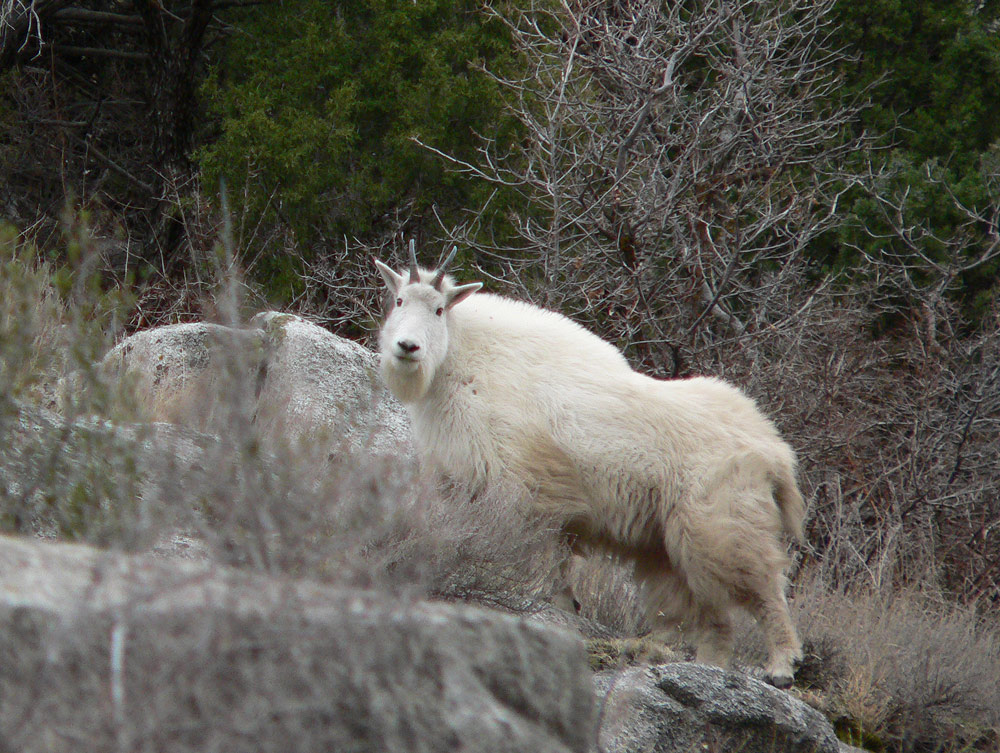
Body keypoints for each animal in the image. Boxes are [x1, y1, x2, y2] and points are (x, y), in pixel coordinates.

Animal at [374, 244, 804, 684]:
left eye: (439, 309)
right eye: (399, 300)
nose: (407, 347)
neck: (460, 362)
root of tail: (774, 451)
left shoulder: (526, 486)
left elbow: (531, 556)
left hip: (718, 523)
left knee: (764, 587)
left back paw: (782, 665)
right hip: (674, 543)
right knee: (716, 616)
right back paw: (706, 667)